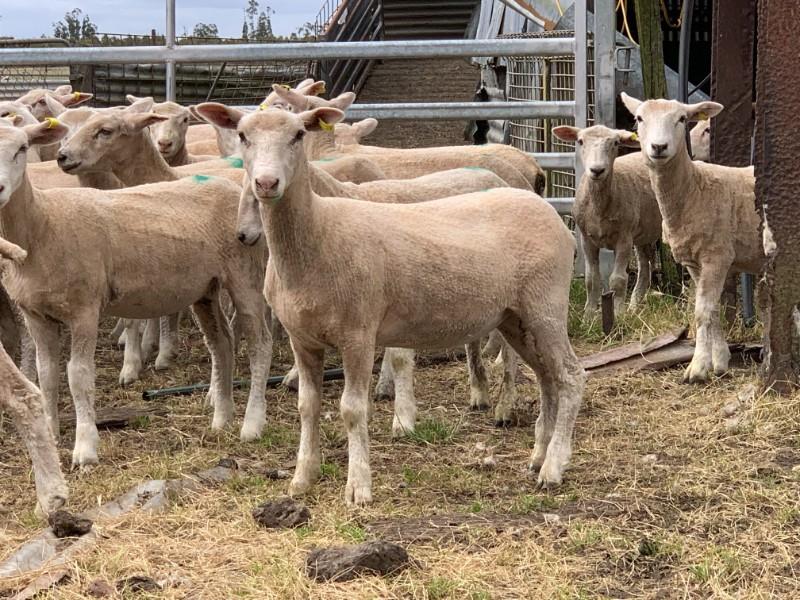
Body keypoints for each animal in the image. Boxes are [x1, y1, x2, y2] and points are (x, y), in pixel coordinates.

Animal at [0, 118, 272, 468]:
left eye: (22, 148)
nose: (0, 189)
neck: (41, 226)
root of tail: (229, 187)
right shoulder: (36, 314)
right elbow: (47, 375)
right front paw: (51, 433)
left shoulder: (84, 309)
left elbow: (78, 375)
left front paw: (85, 448)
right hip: (206, 289)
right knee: (221, 344)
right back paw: (221, 419)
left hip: (245, 275)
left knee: (260, 345)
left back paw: (252, 423)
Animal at [195, 102, 585, 505]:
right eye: (243, 135)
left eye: (299, 135)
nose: (267, 183)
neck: (319, 233)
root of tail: (547, 209)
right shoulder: (302, 339)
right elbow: (307, 406)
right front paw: (303, 478)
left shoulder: (358, 333)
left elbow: (352, 409)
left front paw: (358, 487)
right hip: (514, 316)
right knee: (547, 377)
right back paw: (538, 455)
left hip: (546, 305)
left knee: (571, 376)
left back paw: (554, 466)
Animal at [552, 125, 661, 318]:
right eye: (580, 141)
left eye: (616, 142)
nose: (597, 170)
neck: (599, 207)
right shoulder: (586, 240)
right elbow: (591, 279)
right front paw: (588, 314)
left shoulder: (624, 239)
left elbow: (618, 279)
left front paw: (618, 314)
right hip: (643, 232)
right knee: (644, 266)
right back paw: (634, 305)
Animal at [620, 93, 762, 383]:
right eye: (639, 118)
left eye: (682, 119)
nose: (659, 147)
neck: (694, 189)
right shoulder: (695, 263)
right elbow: (713, 309)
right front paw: (720, 361)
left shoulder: (717, 256)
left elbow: (701, 312)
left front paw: (697, 368)